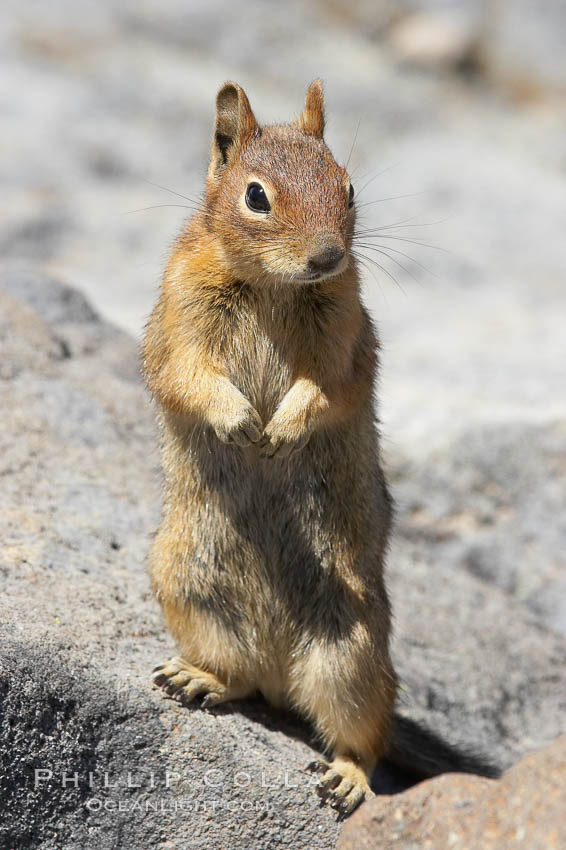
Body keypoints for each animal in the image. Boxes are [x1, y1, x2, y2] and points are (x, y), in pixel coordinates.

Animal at [144, 81, 500, 816]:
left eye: (349, 186)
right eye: (256, 196)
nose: (328, 256)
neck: (274, 284)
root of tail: (282, 670)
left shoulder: (346, 337)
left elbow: (328, 390)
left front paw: (280, 431)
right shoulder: (178, 317)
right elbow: (187, 375)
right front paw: (239, 420)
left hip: (350, 654)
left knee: (364, 736)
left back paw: (348, 778)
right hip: (188, 587)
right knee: (242, 681)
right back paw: (199, 679)